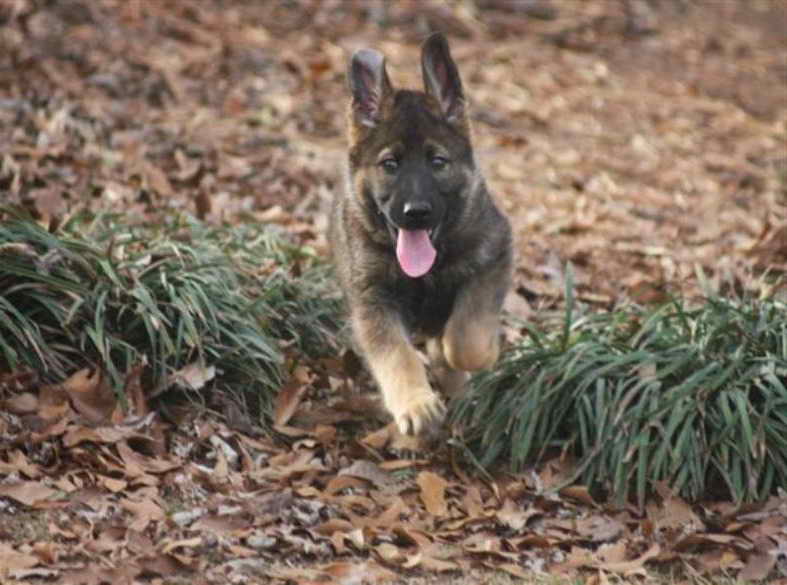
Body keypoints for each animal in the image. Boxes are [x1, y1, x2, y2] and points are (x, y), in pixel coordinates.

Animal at [330, 32, 516, 434]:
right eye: (390, 164)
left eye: (437, 162)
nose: (415, 213)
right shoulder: (372, 302)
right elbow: (397, 355)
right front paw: (416, 404)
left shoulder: (494, 256)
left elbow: (467, 338)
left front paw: (469, 353)